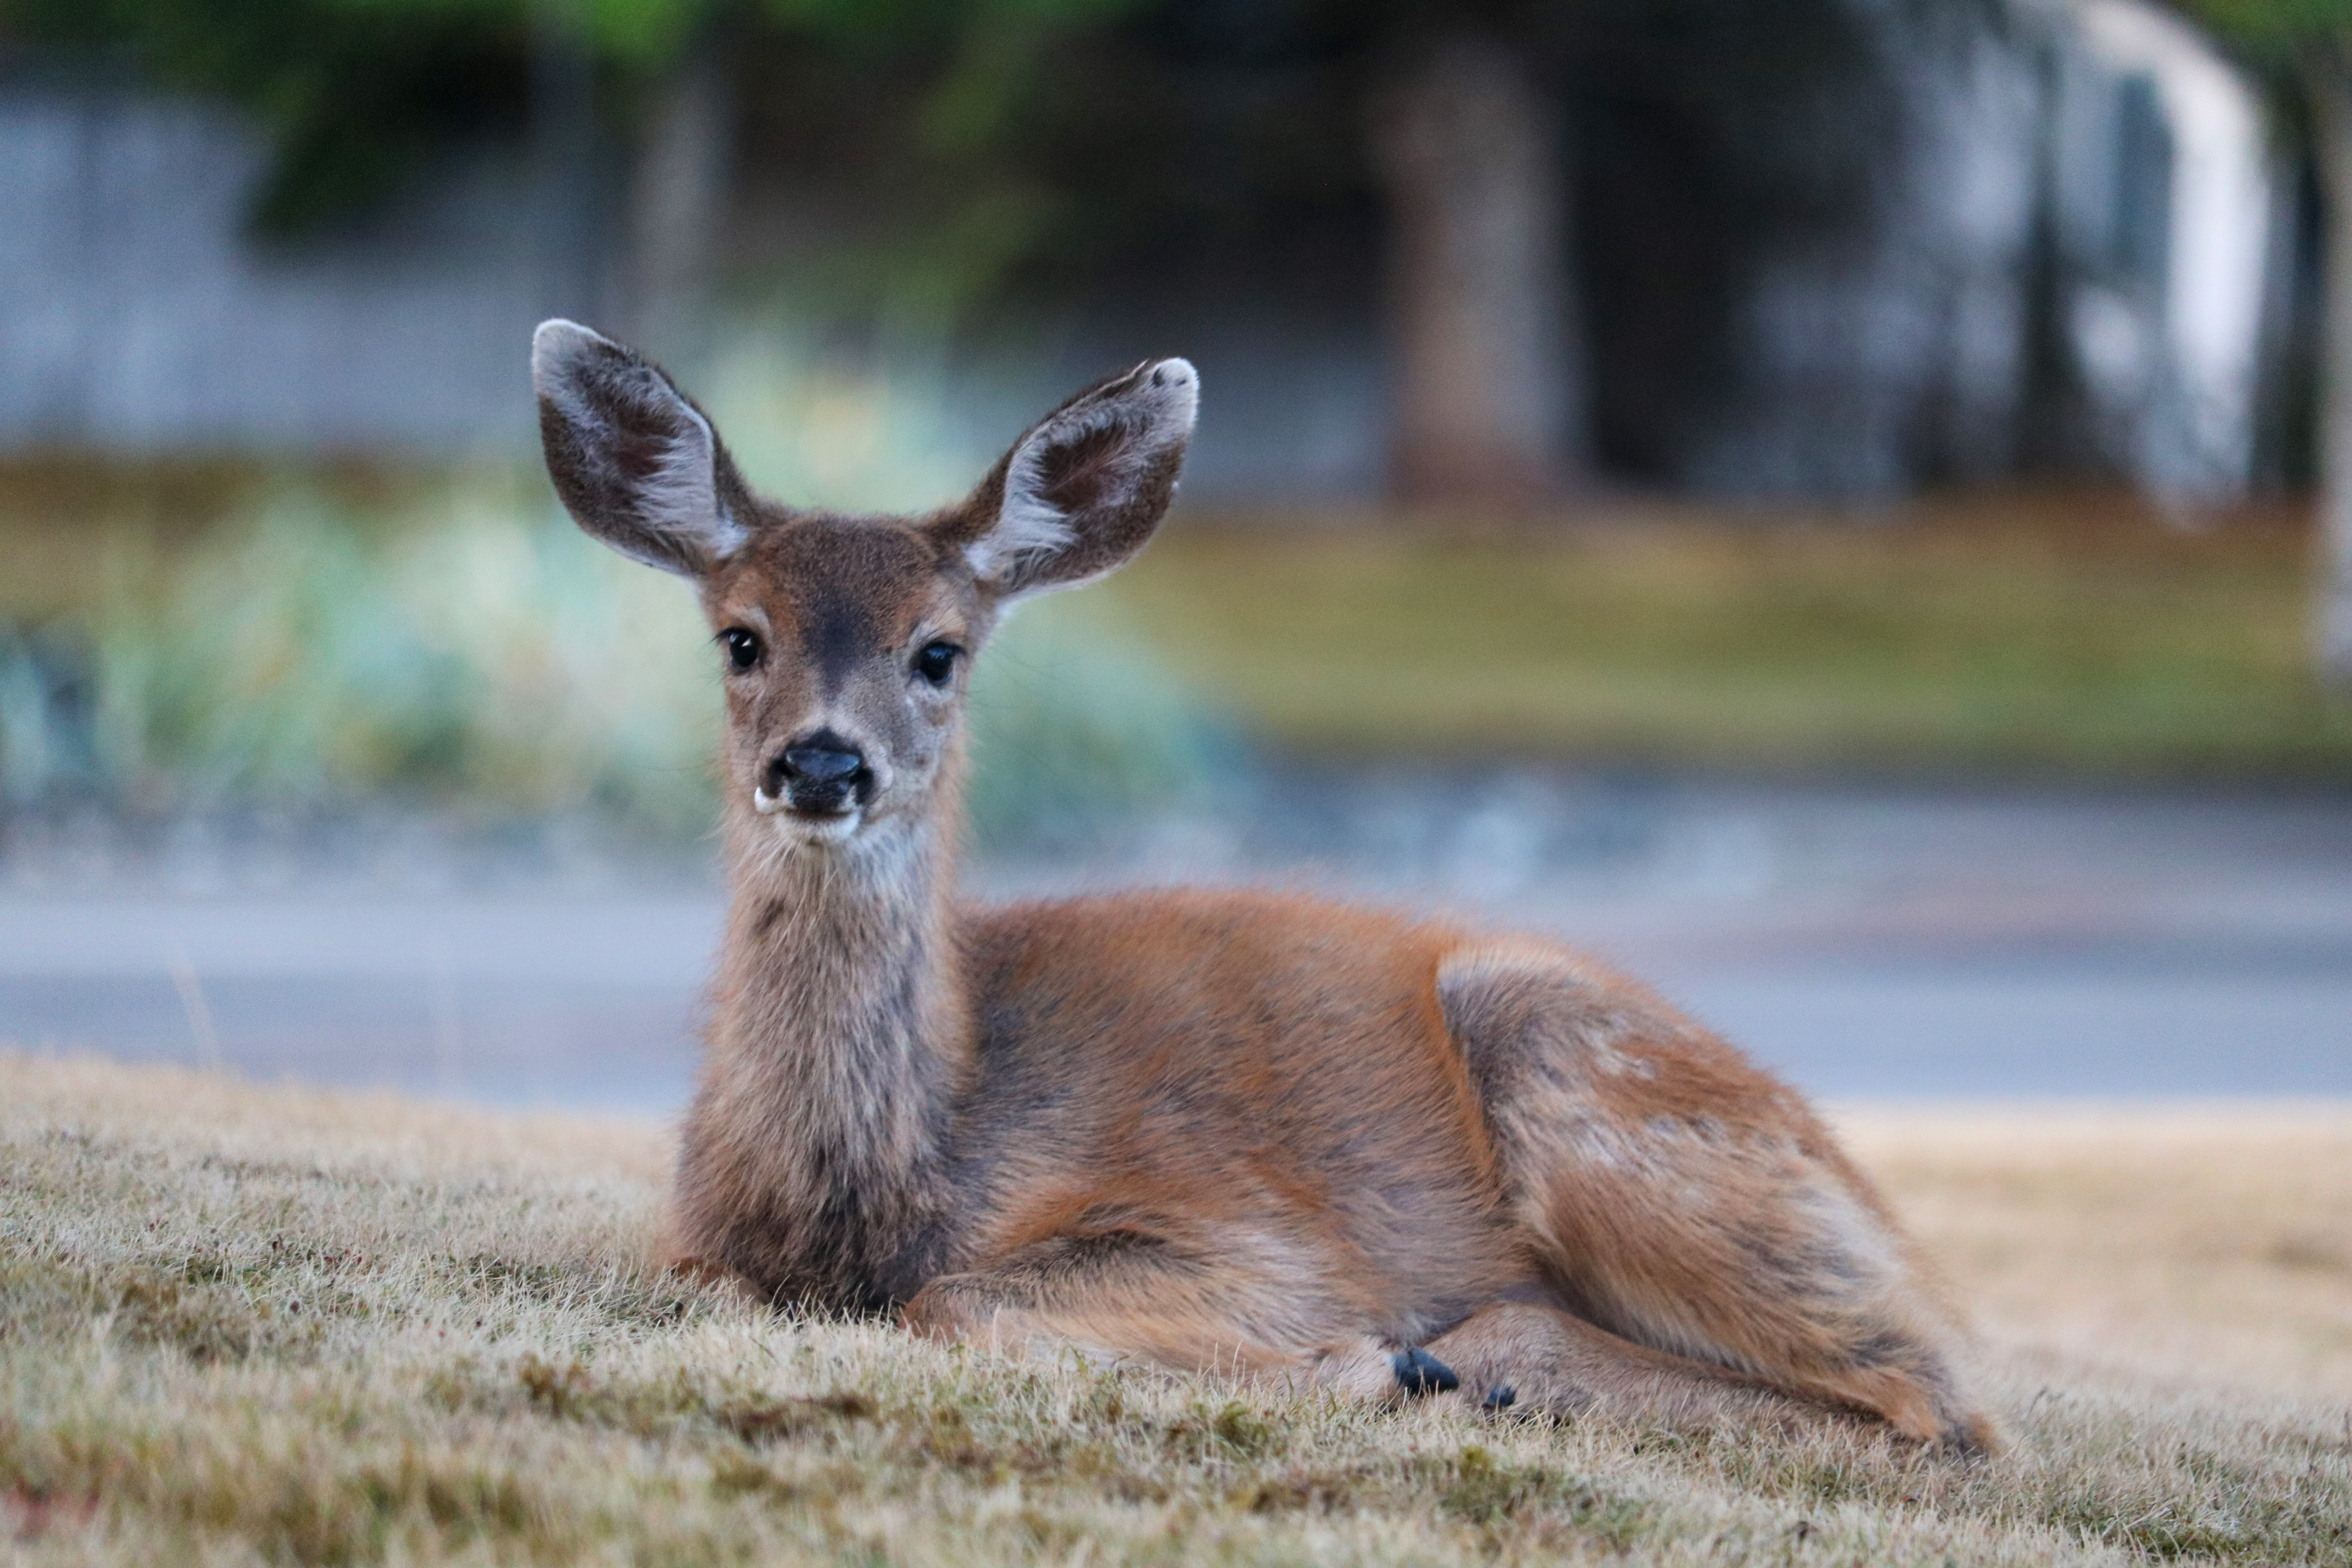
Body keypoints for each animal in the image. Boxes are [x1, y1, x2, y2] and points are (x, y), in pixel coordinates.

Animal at [531, 318, 1998, 1451]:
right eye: (741, 638)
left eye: (938, 651)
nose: (823, 762)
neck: (881, 1185)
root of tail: (1862, 1191)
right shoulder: (693, 1244)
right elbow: (729, 1287)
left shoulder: (1247, 1238)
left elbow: (952, 1301)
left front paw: (1360, 1360)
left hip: (1584, 1072)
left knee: (1943, 1410)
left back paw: (1460, 1365)